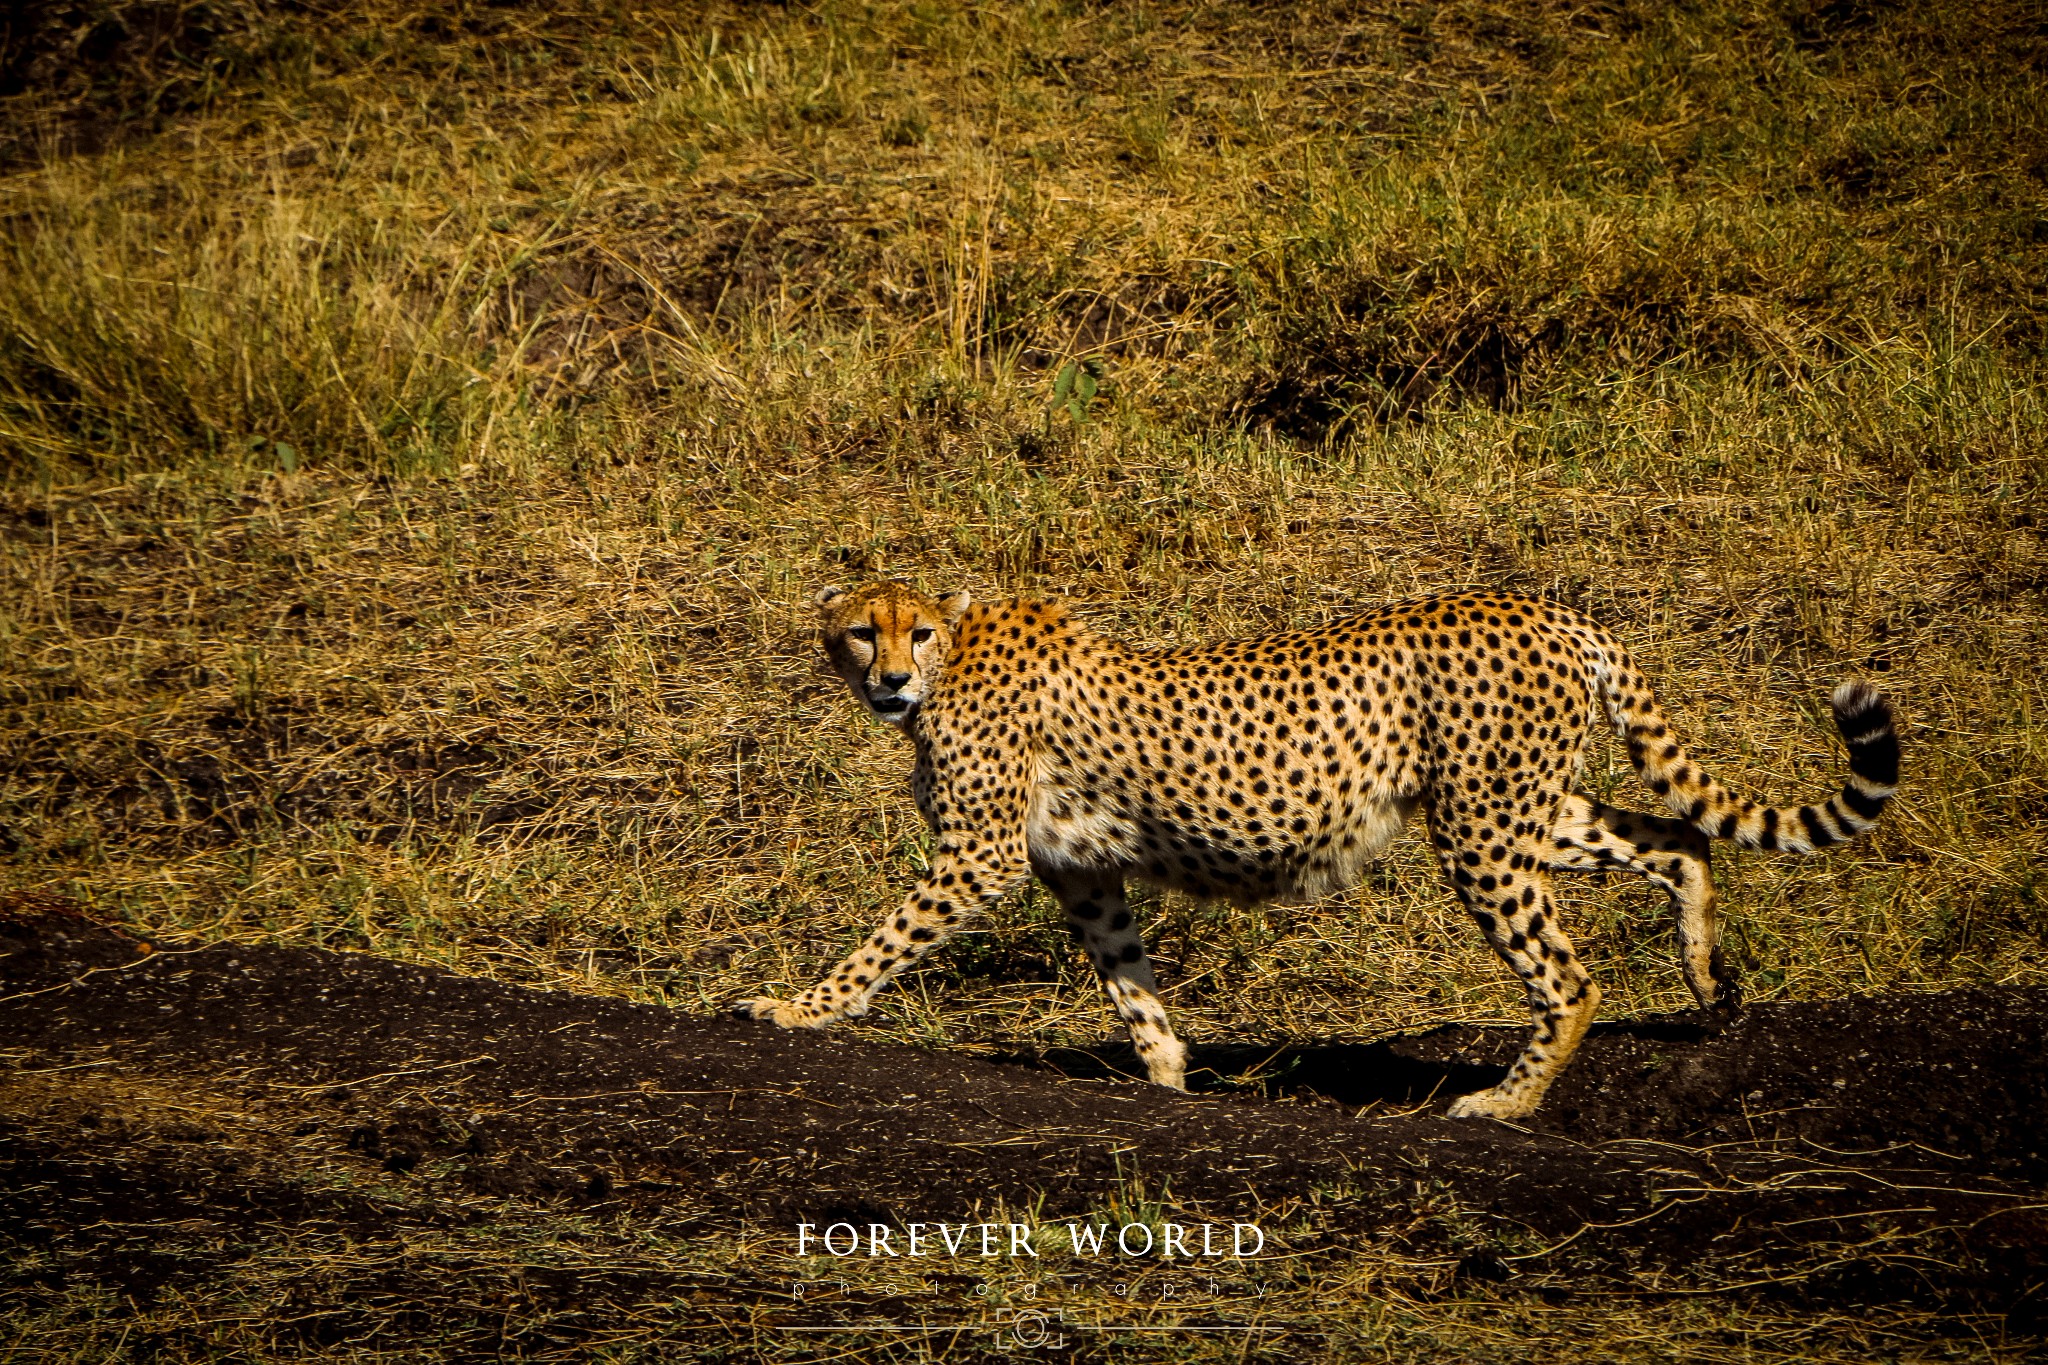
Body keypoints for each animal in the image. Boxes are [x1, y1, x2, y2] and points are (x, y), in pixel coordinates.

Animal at [729, 581, 1892, 1121]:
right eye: (861, 631)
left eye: (914, 631)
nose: (888, 679)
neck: (956, 659)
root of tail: (1550, 608)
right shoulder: (1081, 871)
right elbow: (1130, 983)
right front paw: (1169, 1079)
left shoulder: (981, 856)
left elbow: (881, 941)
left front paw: (794, 1007)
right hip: (1520, 810)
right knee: (1681, 836)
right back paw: (1706, 977)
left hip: (1482, 830)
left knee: (1570, 978)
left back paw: (1504, 1103)